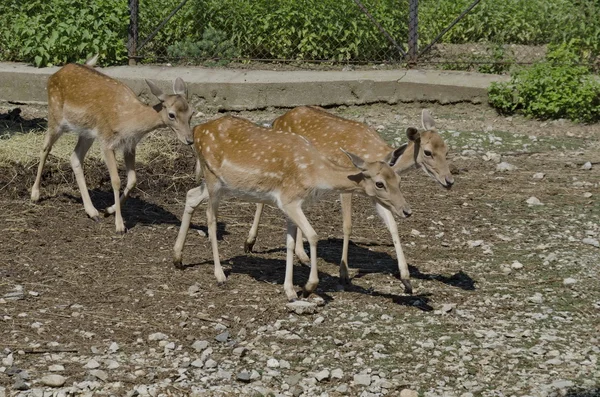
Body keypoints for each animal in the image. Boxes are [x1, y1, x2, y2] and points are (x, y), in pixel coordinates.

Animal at [30, 52, 195, 232]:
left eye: (191, 113)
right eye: (172, 114)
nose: (189, 140)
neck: (128, 119)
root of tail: (56, 73)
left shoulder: (130, 145)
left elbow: (133, 180)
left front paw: (109, 210)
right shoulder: (107, 142)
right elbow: (116, 180)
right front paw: (120, 225)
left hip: (87, 133)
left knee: (75, 157)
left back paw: (92, 212)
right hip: (55, 116)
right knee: (45, 147)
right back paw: (35, 194)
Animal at [171, 114, 410, 300]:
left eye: (399, 179)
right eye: (379, 183)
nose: (406, 210)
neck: (315, 173)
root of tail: (197, 130)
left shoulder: (290, 205)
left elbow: (289, 243)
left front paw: (290, 291)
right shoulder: (289, 200)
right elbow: (313, 235)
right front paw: (308, 287)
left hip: (221, 185)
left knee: (191, 195)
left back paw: (178, 258)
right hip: (212, 180)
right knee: (210, 218)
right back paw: (219, 274)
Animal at [241, 106, 452, 292]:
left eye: (447, 150)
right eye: (428, 152)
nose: (449, 181)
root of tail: (277, 120)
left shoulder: (376, 195)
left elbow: (392, 225)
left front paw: (407, 280)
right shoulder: (348, 185)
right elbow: (347, 225)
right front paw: (344, 273)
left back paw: (302, 255)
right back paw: (250, 242)